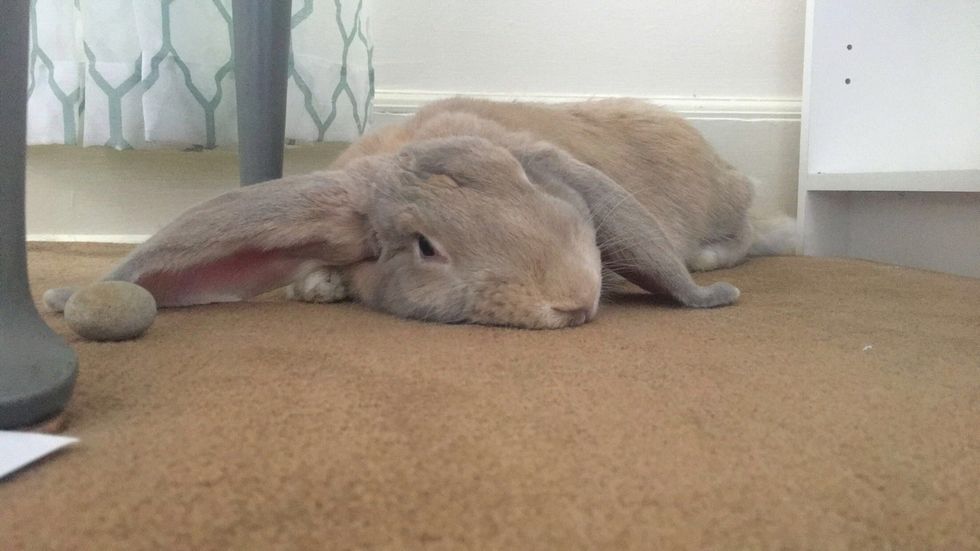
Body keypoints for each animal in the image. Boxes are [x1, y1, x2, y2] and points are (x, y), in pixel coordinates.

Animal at [44, 98, 796, 329]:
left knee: (752, 233)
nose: (575, 298)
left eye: (525, 178)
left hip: (724, 206)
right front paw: (319, 283)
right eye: (426, 247)